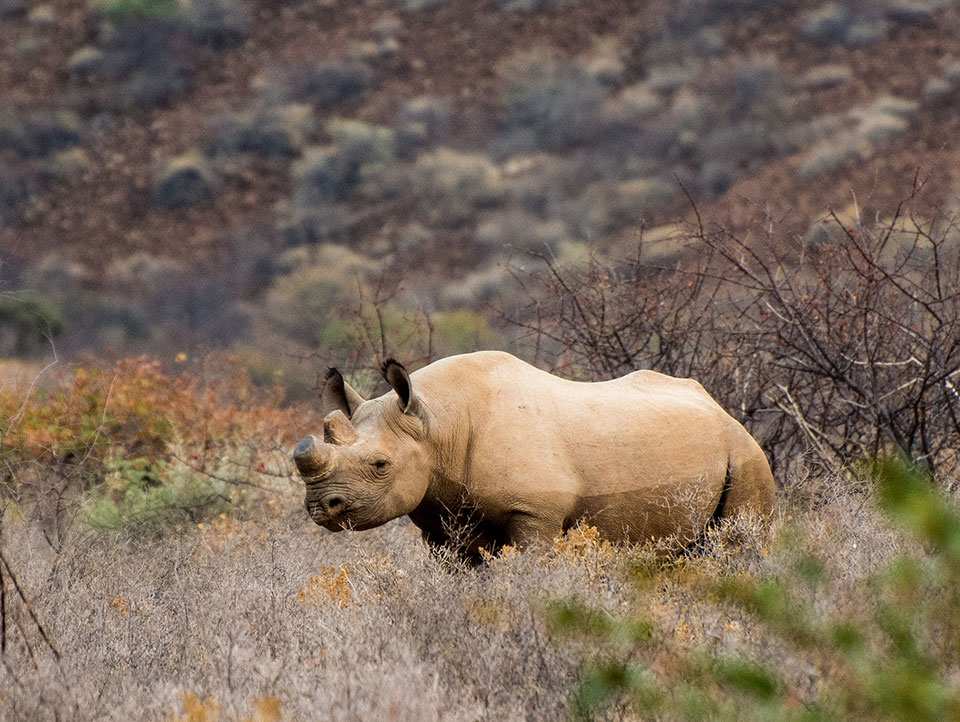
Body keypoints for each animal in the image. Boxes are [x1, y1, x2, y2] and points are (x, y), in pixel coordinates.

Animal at [294, 351, 775, 557]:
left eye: (380, 465)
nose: (319, 507)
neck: (437, 424)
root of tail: (721, 409)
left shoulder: (534, 512)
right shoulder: (439, 518)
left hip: (745, 454)